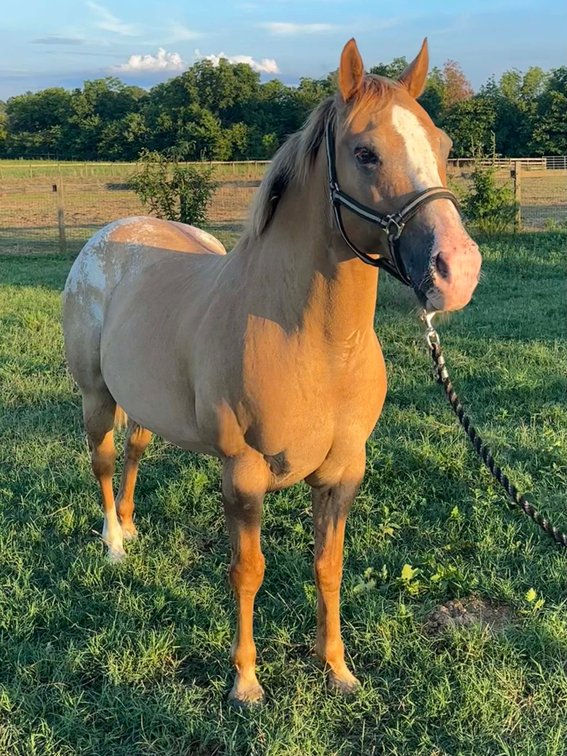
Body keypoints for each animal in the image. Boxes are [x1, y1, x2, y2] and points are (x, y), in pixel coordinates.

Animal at [62, 38, 481, 704]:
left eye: (441, 146)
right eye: (365, 152)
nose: (458, 271)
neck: (316, 348)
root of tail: (109, 235)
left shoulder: (342, 474)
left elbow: (328, 568)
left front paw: (337, 669)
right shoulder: (243, 474)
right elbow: (248, 571)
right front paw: (246, 681)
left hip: (143, 404)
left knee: (133, 451)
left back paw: (129, 529)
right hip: (95, 396)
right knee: (102, 462)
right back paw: (114, 548)